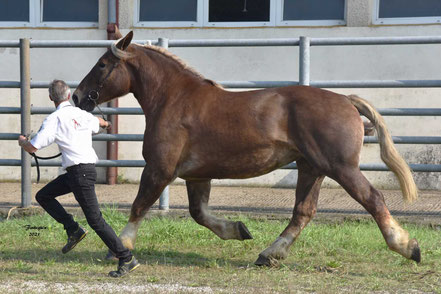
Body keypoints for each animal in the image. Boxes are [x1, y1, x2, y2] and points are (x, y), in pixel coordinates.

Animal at [73, 31, 420, 266]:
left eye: (102, 64)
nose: (77, 97)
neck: (173, 99)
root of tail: (347, 100)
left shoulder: (160, 169)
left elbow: (139, 206)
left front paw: (121, 247)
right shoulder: (197, 175)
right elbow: (199, 214)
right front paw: (239, 230)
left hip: (340, 167)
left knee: (373, 199)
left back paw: (406, 246)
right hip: (312, 168)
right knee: (303, 212)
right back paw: (270, 254)